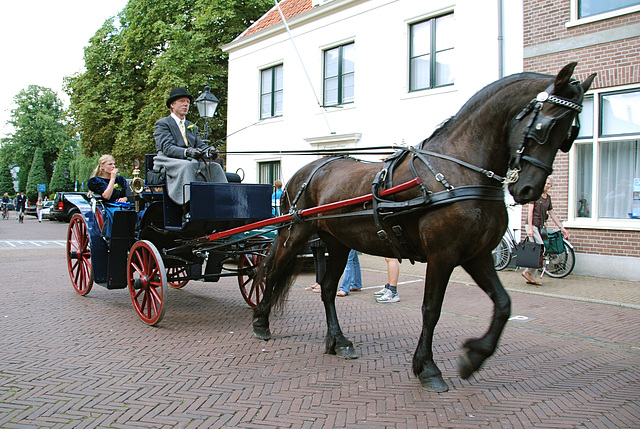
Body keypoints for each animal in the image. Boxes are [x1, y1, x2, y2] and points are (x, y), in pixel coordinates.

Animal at [250, 61, 596, 392]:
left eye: (571, 134)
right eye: (545, 125)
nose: (528, 190)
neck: (459, 171)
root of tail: (306, 169)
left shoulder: (477, 255)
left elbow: (503, 304)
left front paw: (474, 357)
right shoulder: (443, 255)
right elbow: (432, 309)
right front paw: (428, 368)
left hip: (337, 243)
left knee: (328, 289)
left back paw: (338, 341)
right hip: (294, 234)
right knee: (272, 272)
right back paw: (261, 323)